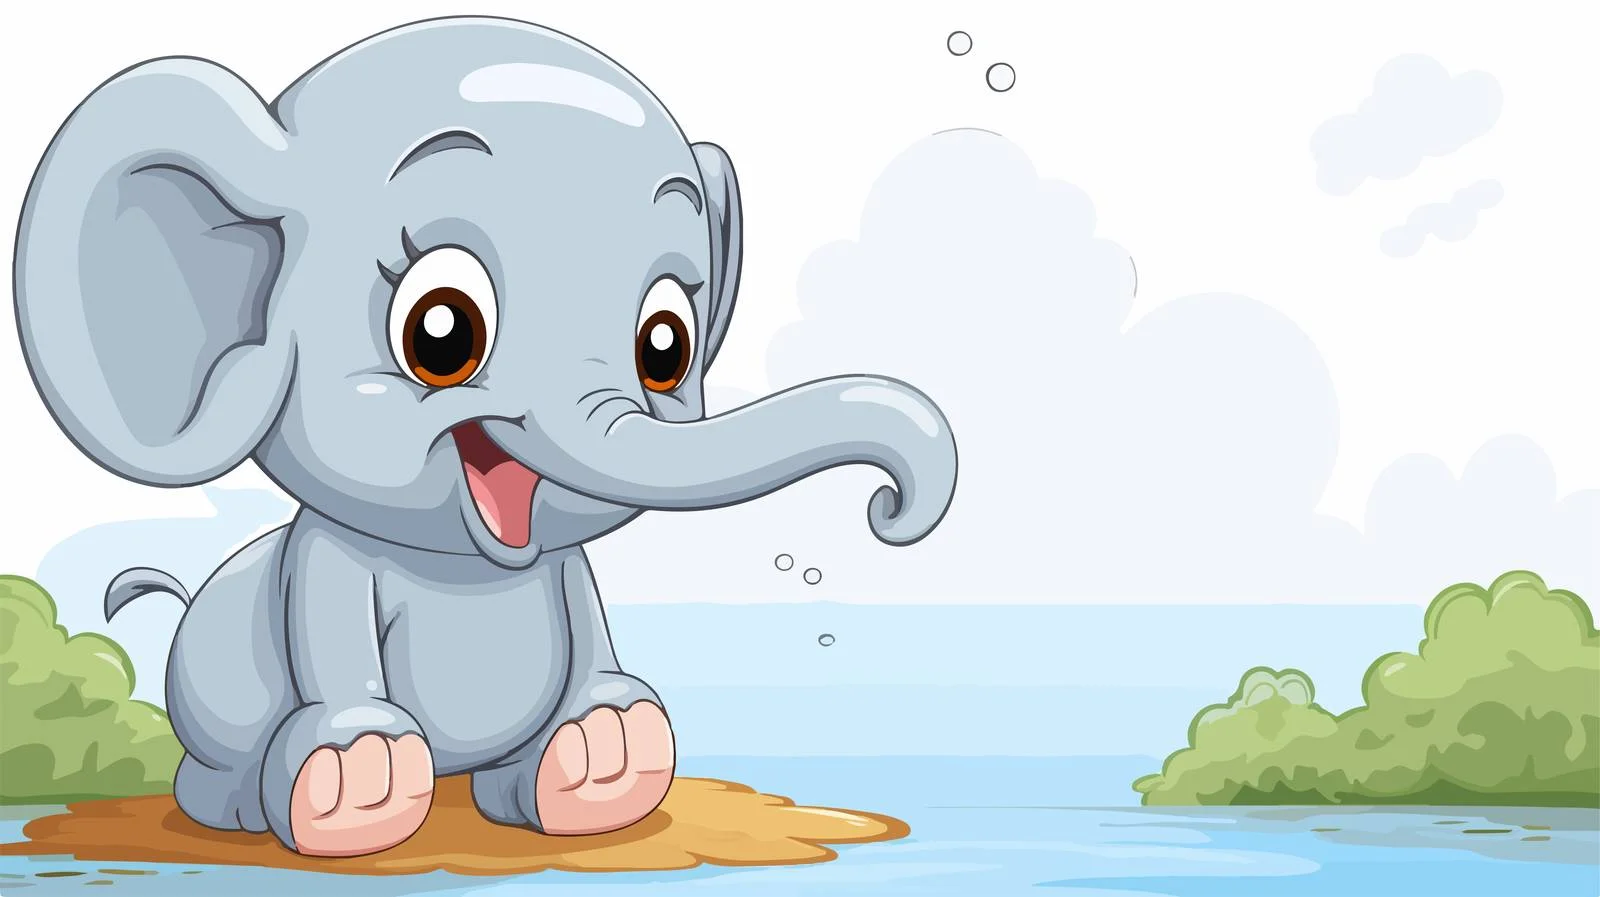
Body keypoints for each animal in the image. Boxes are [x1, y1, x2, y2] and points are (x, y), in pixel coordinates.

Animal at [13, 16, 956, 857]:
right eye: (441, 331)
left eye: (666, 348)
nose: (890, 507)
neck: (463, 570)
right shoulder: (324, 561)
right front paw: (357, 782)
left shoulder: (567, 571)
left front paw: (609, 750)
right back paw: (246, 809)